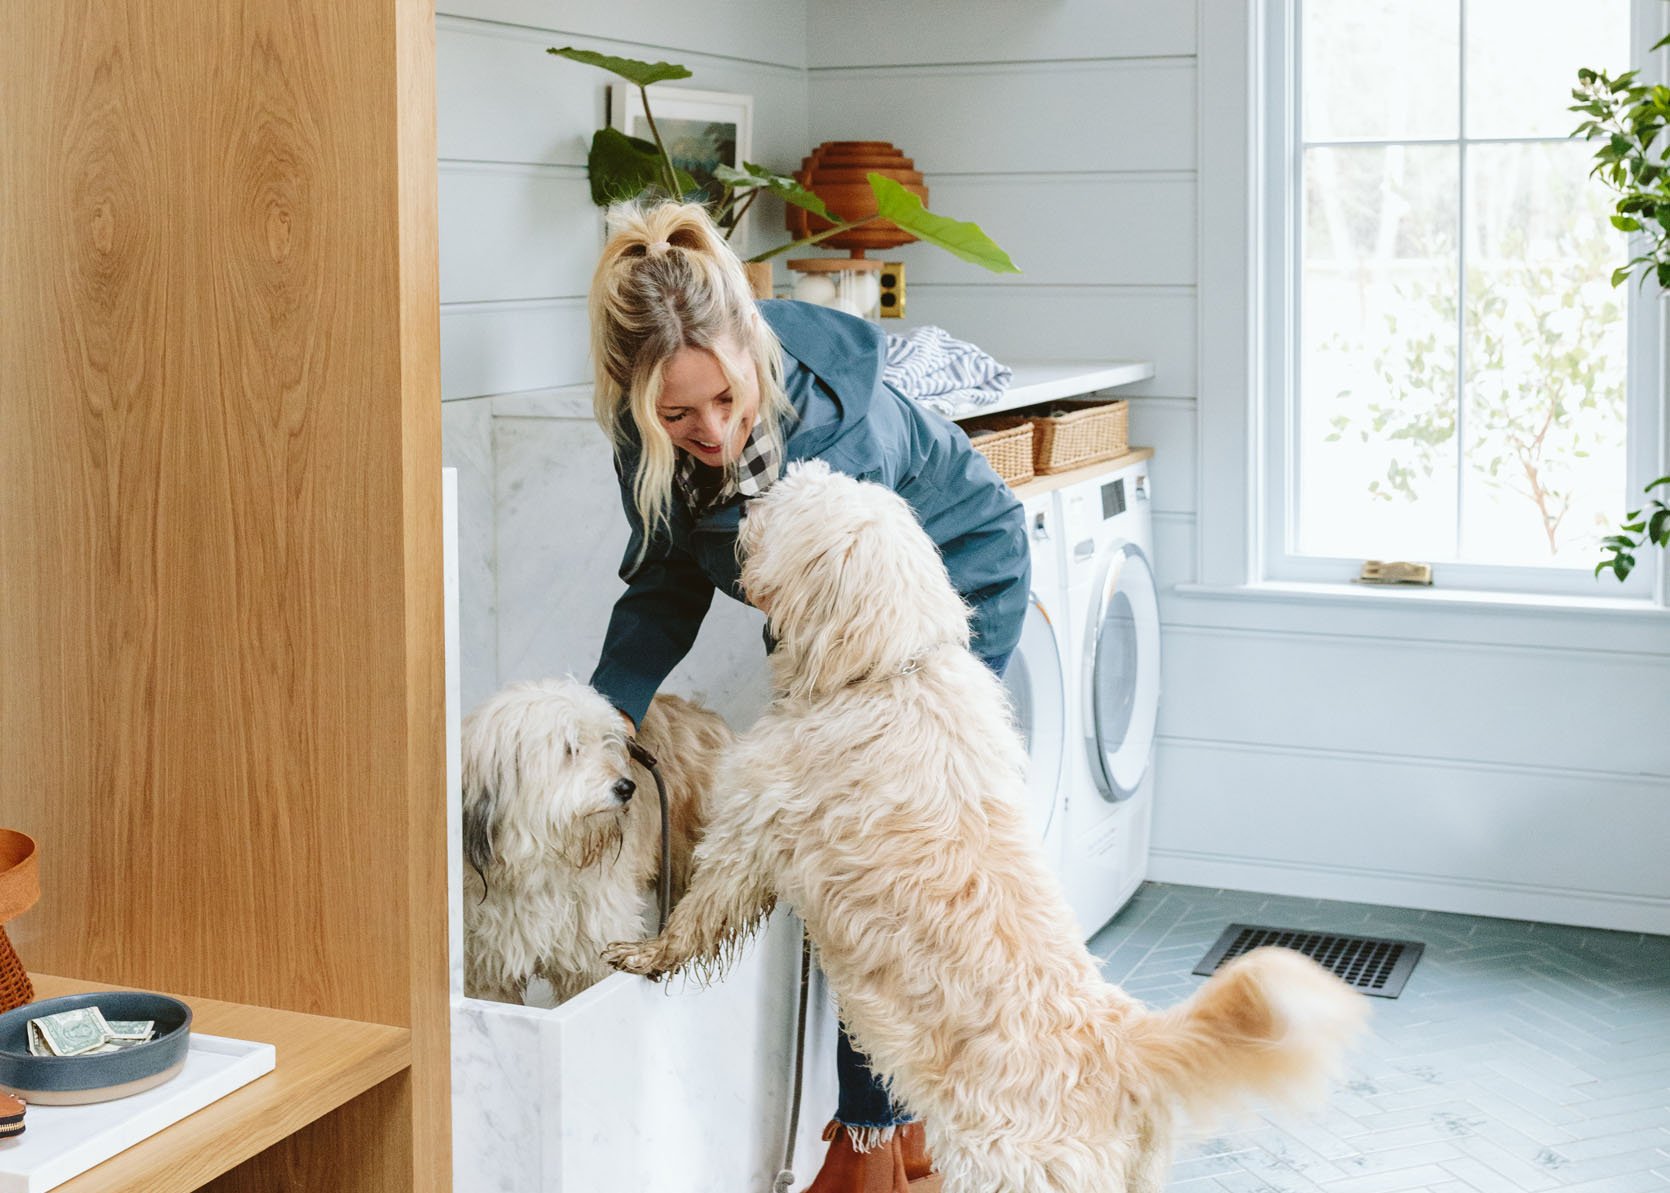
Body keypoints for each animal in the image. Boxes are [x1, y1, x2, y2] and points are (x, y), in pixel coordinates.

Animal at [607, 461, 1362, 1189]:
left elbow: (699, 909)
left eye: (796, 505)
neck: (886, 670)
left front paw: (646, 954)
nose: (747, 500)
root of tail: (1124, 1044)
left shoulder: (749, 829)